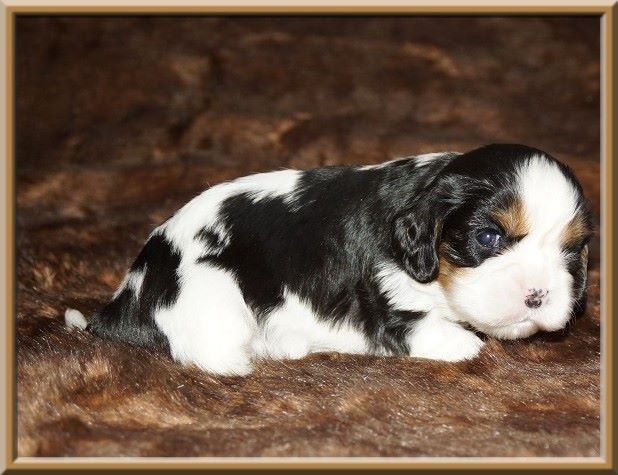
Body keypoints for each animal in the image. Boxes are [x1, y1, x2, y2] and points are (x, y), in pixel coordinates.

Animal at [65, 144, 592, 375]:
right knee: (209, 354)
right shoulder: (381, 293)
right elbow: (424, 327)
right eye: (488, 236)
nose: (539, 294)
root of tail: (130, 292)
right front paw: (465, 344)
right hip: (210, 294)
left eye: (572, 251)